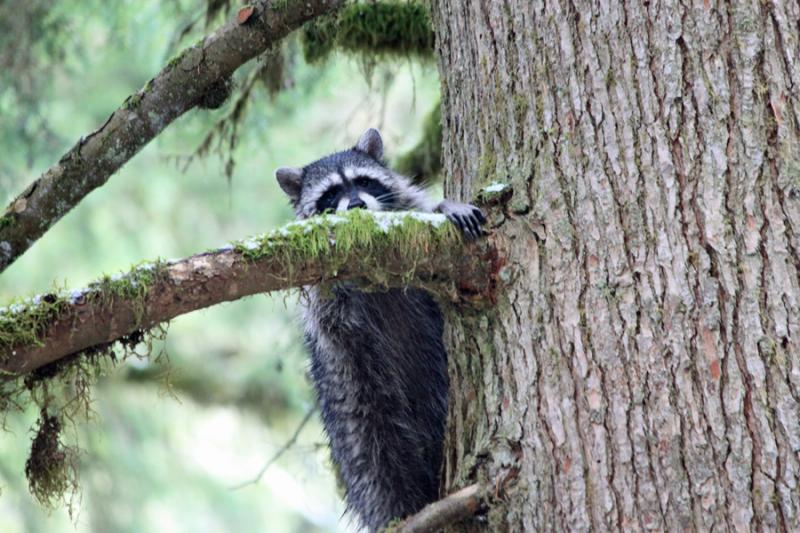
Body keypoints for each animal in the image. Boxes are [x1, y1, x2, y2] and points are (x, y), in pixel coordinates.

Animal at [276, 127, 488, 528]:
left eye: (363, 182)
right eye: (330, 194)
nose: (357, 206)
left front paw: (444, 206)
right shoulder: (323, 301)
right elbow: (330, 311)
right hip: (355, 394)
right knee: (379, 459)